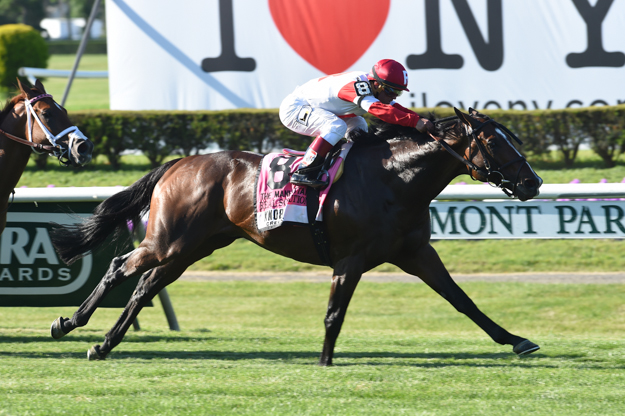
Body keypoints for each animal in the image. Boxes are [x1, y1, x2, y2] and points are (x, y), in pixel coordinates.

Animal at [51, 108, 540, 364]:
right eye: (494, 142)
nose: (532, 182)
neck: (394, 179)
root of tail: (177, 162)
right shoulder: (350, 258)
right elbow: (334, 314)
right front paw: (324, 361)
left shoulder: (416, 252)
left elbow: (462, 300)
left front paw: (517, 340)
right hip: (169, 240)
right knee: (120, 267)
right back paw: (69, 323)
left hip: (193, 246)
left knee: (145, 287)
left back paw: (103, 344)